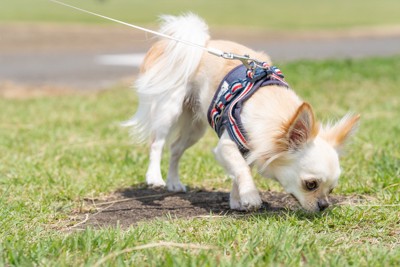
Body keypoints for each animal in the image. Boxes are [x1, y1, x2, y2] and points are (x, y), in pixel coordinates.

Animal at [124, 13, 360, 214]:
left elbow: (238, 171)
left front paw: (237, 199)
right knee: (157, 143)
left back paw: (173, 182)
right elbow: (242, 169)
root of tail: (202, 44)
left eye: (331, 189)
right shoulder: (227, 145)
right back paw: (155, 176)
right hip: (170, 109)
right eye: (310, 184)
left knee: (175, 148)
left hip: (195, 128)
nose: (324, 206)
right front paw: (251, 197)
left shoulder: (250, 149)